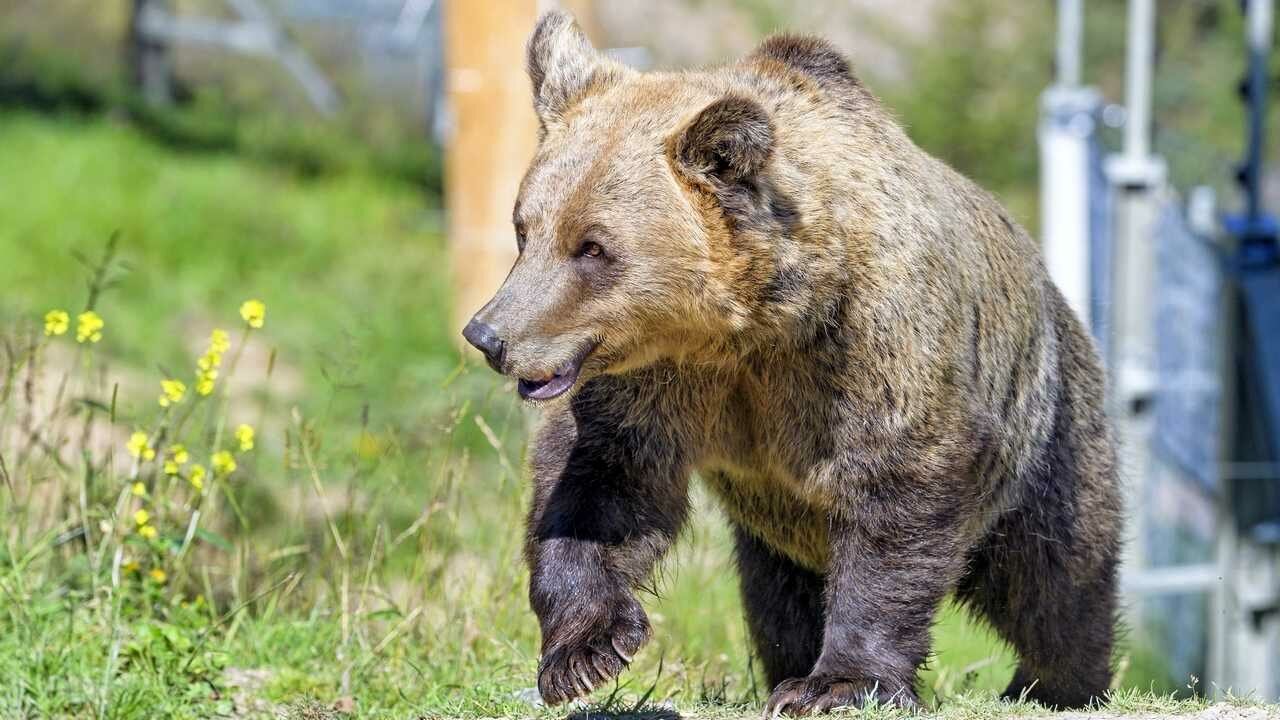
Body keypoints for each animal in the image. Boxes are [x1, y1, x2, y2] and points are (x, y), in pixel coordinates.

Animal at [465, 9, 1126, 712]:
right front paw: (585, 651)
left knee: (1055, 578)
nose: (489, 335)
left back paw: (1056, 680)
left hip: (1047, 432)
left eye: (592, 247)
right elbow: (601, 480)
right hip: (773, 535)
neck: (756, 327)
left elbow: (897, 496)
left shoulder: (871, 351)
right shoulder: (664, 381)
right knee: (777, 598)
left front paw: (838, 682)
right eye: (525, 229)